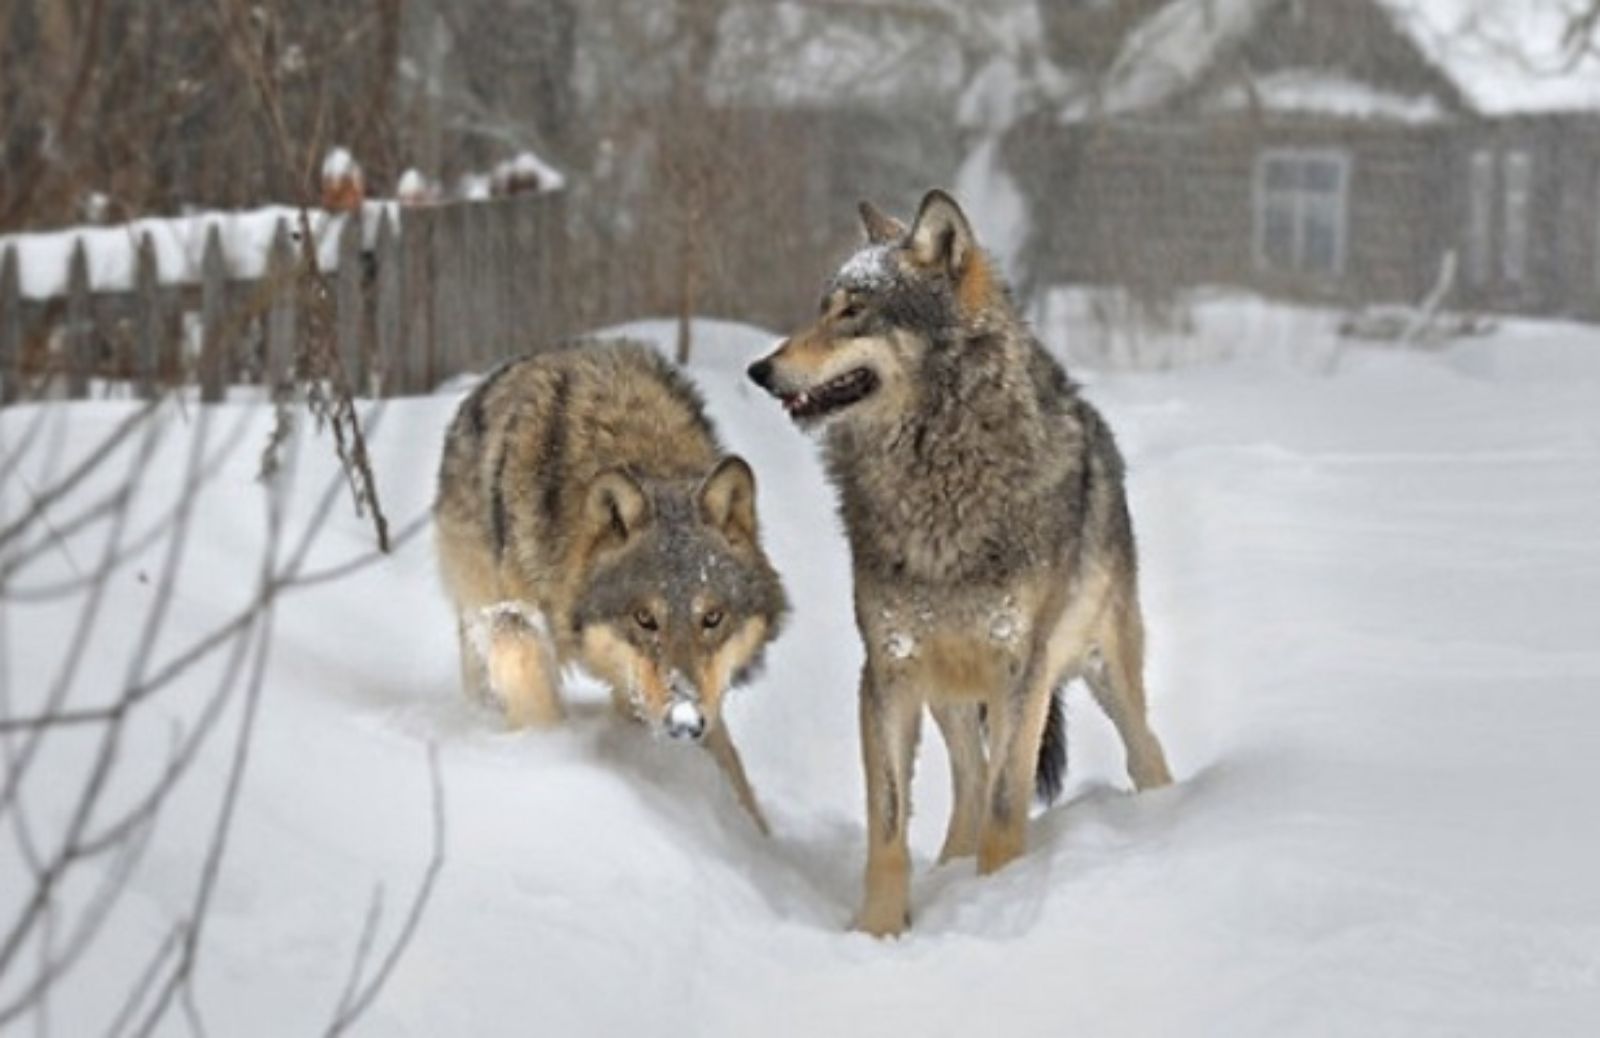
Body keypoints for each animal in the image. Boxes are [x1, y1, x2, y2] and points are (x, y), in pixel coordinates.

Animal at [435, 342, 790, 831]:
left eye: (712, 617)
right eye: (645, 618)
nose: (685, 722)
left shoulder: (694, 697)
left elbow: (732, 770)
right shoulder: (516, 625)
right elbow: (538, 707)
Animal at [742, 187, 1171, 934]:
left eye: (854, 310)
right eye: (823, 307)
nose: (760, 371)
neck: (937, 477)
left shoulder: (1022, 671)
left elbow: (1006, 806)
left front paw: (997, 906)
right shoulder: (887, 671)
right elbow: (889, 823)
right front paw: (879, 930)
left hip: (1101, 673)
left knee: (1141, 752)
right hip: (947, 694)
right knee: (969, 786)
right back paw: (950, 871)